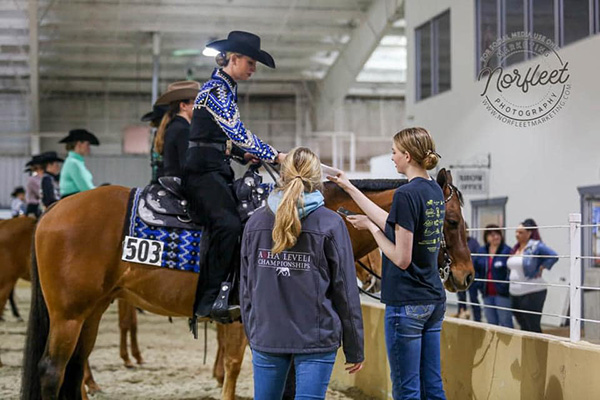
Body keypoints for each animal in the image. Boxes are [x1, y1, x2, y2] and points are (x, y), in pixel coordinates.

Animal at [21, 170, 474, 400]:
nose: (466, 275)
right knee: (53, 371)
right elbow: (240, 367)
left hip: (92, 311)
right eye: (452, 221)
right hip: (69, 315)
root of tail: (51, 214)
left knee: (75, 370)